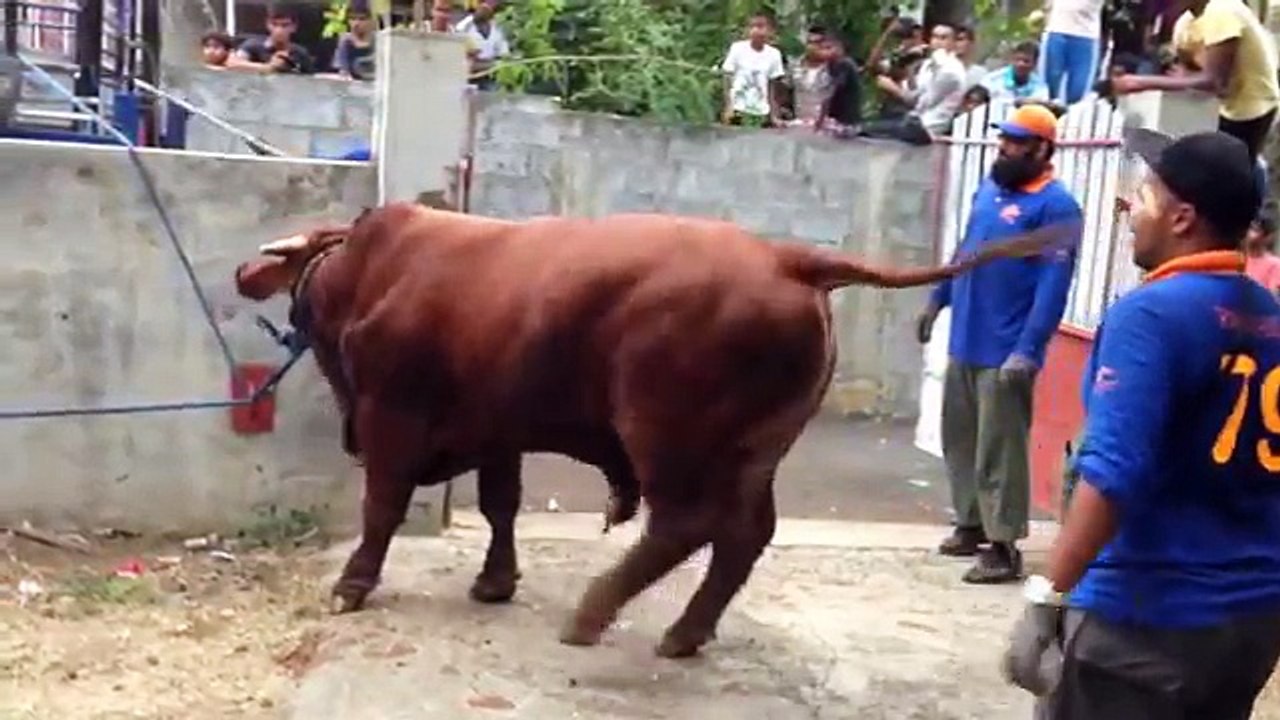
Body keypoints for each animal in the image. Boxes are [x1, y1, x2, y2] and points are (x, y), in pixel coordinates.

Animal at [233, 202, 1061, 658]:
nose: (247, 271)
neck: (374, 271)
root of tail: (784, 258)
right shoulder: (499, 427)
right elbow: (501, 504)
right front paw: (496, 581)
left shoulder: (391, 419)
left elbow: (382, 506)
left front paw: (352, 584)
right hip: (753, 451)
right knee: (743, 535)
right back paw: (684, 632)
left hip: (667, 436)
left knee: (685, 525)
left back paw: (593, 612)